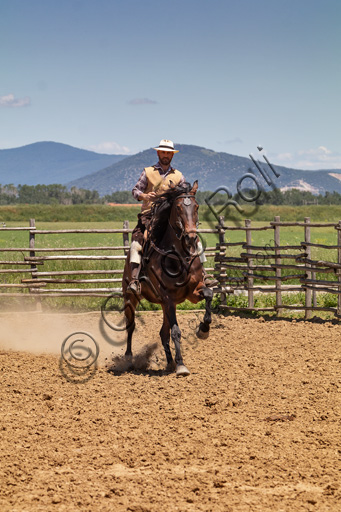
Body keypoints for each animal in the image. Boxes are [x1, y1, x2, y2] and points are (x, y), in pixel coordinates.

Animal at [122, 180, 211, 376]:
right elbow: (176, 331)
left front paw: (203, 330)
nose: (191, 238)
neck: (178, 257)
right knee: (131, 326)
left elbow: (209, 294)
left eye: (196, 206)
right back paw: (128, 358)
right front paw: (181, 365)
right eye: (178, 208)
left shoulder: (193, 292)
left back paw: (169, 363)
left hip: (164, 305)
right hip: (130, 297)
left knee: (163, 333)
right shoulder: (168, 298)